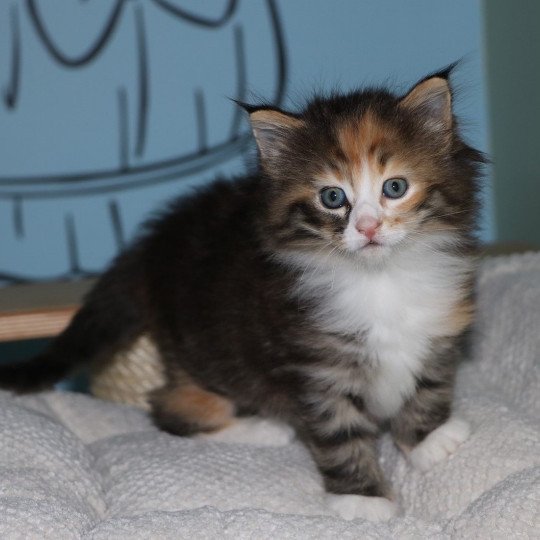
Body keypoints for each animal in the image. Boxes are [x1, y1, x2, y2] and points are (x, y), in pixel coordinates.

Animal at [0, 67, 480, 524]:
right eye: (332, 197)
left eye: (394, 188)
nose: (367, 227)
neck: (379, 278)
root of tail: (153, 243)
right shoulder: (315, 365)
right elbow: (338, 434)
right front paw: (363, 499)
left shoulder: (440, 331)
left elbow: (429, 388)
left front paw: (427, 440)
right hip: (202, 353)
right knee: (169, 409)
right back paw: (262, 429)